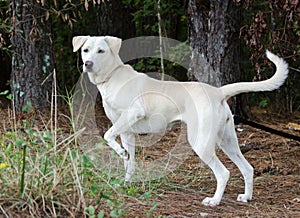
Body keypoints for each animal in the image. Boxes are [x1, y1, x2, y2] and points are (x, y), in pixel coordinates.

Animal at [72, 35, 288, 206]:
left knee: (223, 173)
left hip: (201, 142)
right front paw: (125, 180)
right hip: (227, 141)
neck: (112, 76)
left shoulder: (133, 113)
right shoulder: (126, 132)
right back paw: (246, 197)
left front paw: (120, 153)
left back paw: (214, 201)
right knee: (247, 168)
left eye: (101, 51)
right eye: (85, 50)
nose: (87, 63)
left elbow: (107, 135)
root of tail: (218, 92)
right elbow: (129, 162)